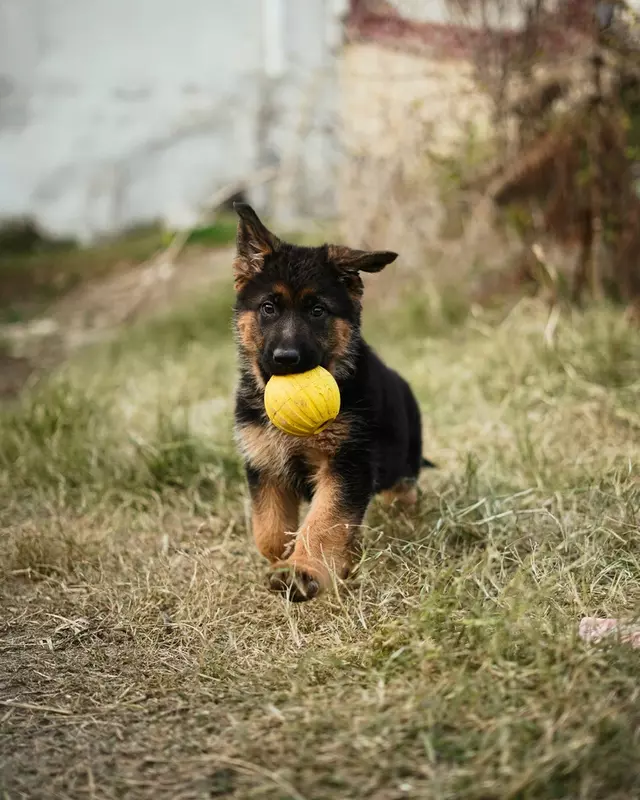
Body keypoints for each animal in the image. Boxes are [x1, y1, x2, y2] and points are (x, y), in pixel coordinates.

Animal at [232, 203, 432, 604]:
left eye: (318, 311)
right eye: (268, 308)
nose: (286, 359)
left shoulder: (347, 463)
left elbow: (324, 522)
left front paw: (301, 571)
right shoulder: (265, 463)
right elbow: (269, 529)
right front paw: (287, 559)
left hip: (402, 465)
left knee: (403, 495)